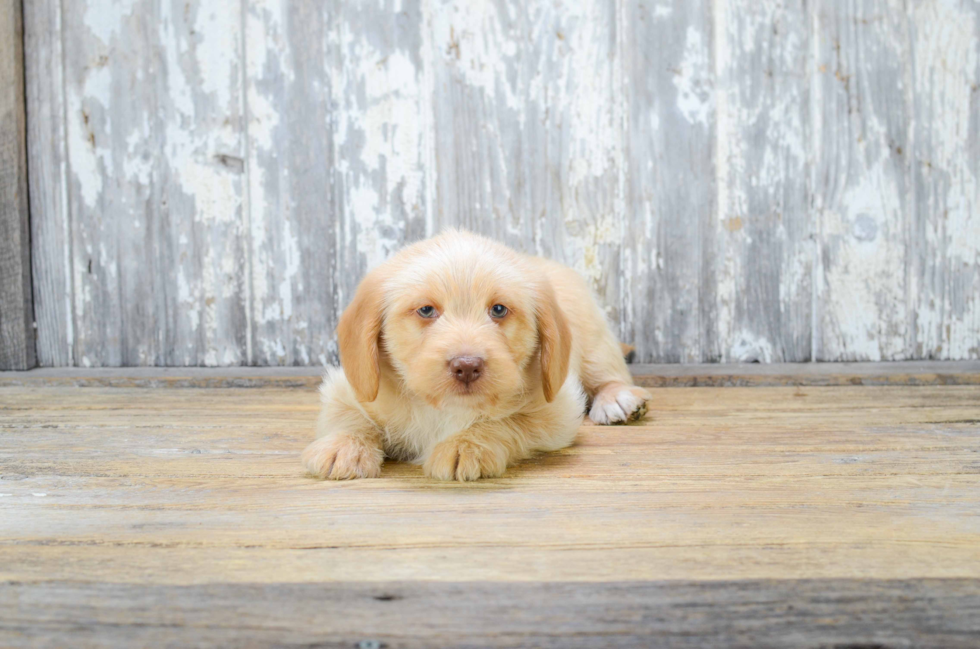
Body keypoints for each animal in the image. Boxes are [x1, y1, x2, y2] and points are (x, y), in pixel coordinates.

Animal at [298, 229, 652, 480]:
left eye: (498, 310)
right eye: (426, 310)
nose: (466, 366)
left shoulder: (557, 410)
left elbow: (507, 421)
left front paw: (466, 445)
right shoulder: (348, 387)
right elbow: (349, 416)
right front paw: (343, 447)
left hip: (594, 340)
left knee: (608, 374)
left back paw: (617, 398)